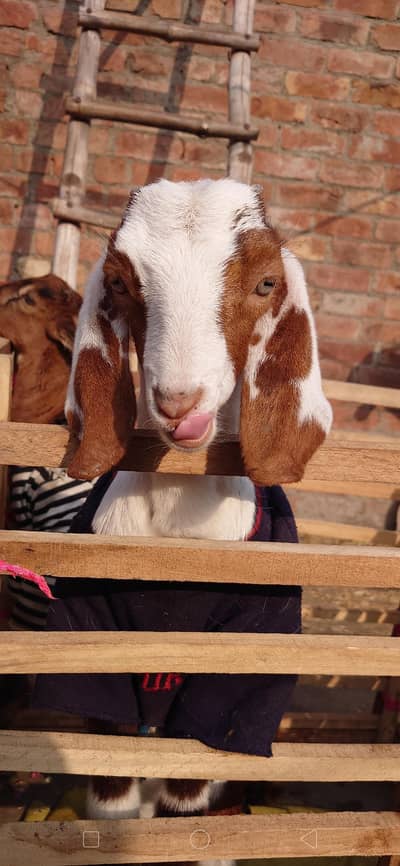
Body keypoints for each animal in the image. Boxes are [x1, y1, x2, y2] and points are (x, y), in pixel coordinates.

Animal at [33, 179, 332, 829]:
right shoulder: (96, 649)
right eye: (120, 283)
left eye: (267, 283)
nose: (179, 405)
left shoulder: (235, 670)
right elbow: (111, 798)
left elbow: (186, 800)